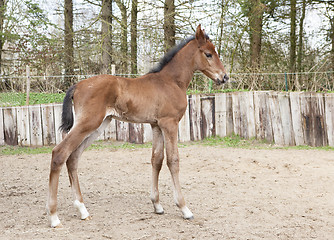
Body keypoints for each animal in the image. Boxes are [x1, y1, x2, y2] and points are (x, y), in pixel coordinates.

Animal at [47, 24, 228, 227]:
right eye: (208, 54)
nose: (224, 77)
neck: (171, 81)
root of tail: (77, 86)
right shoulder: (170, 123)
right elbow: (173, 160)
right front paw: (184, 208)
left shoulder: (156, 125)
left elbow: (156, 160)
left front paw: (157, 205)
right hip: (88, 123)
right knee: (60, 153)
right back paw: (54, 217)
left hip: (97, 126)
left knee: (73, 157)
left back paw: (82, 210)